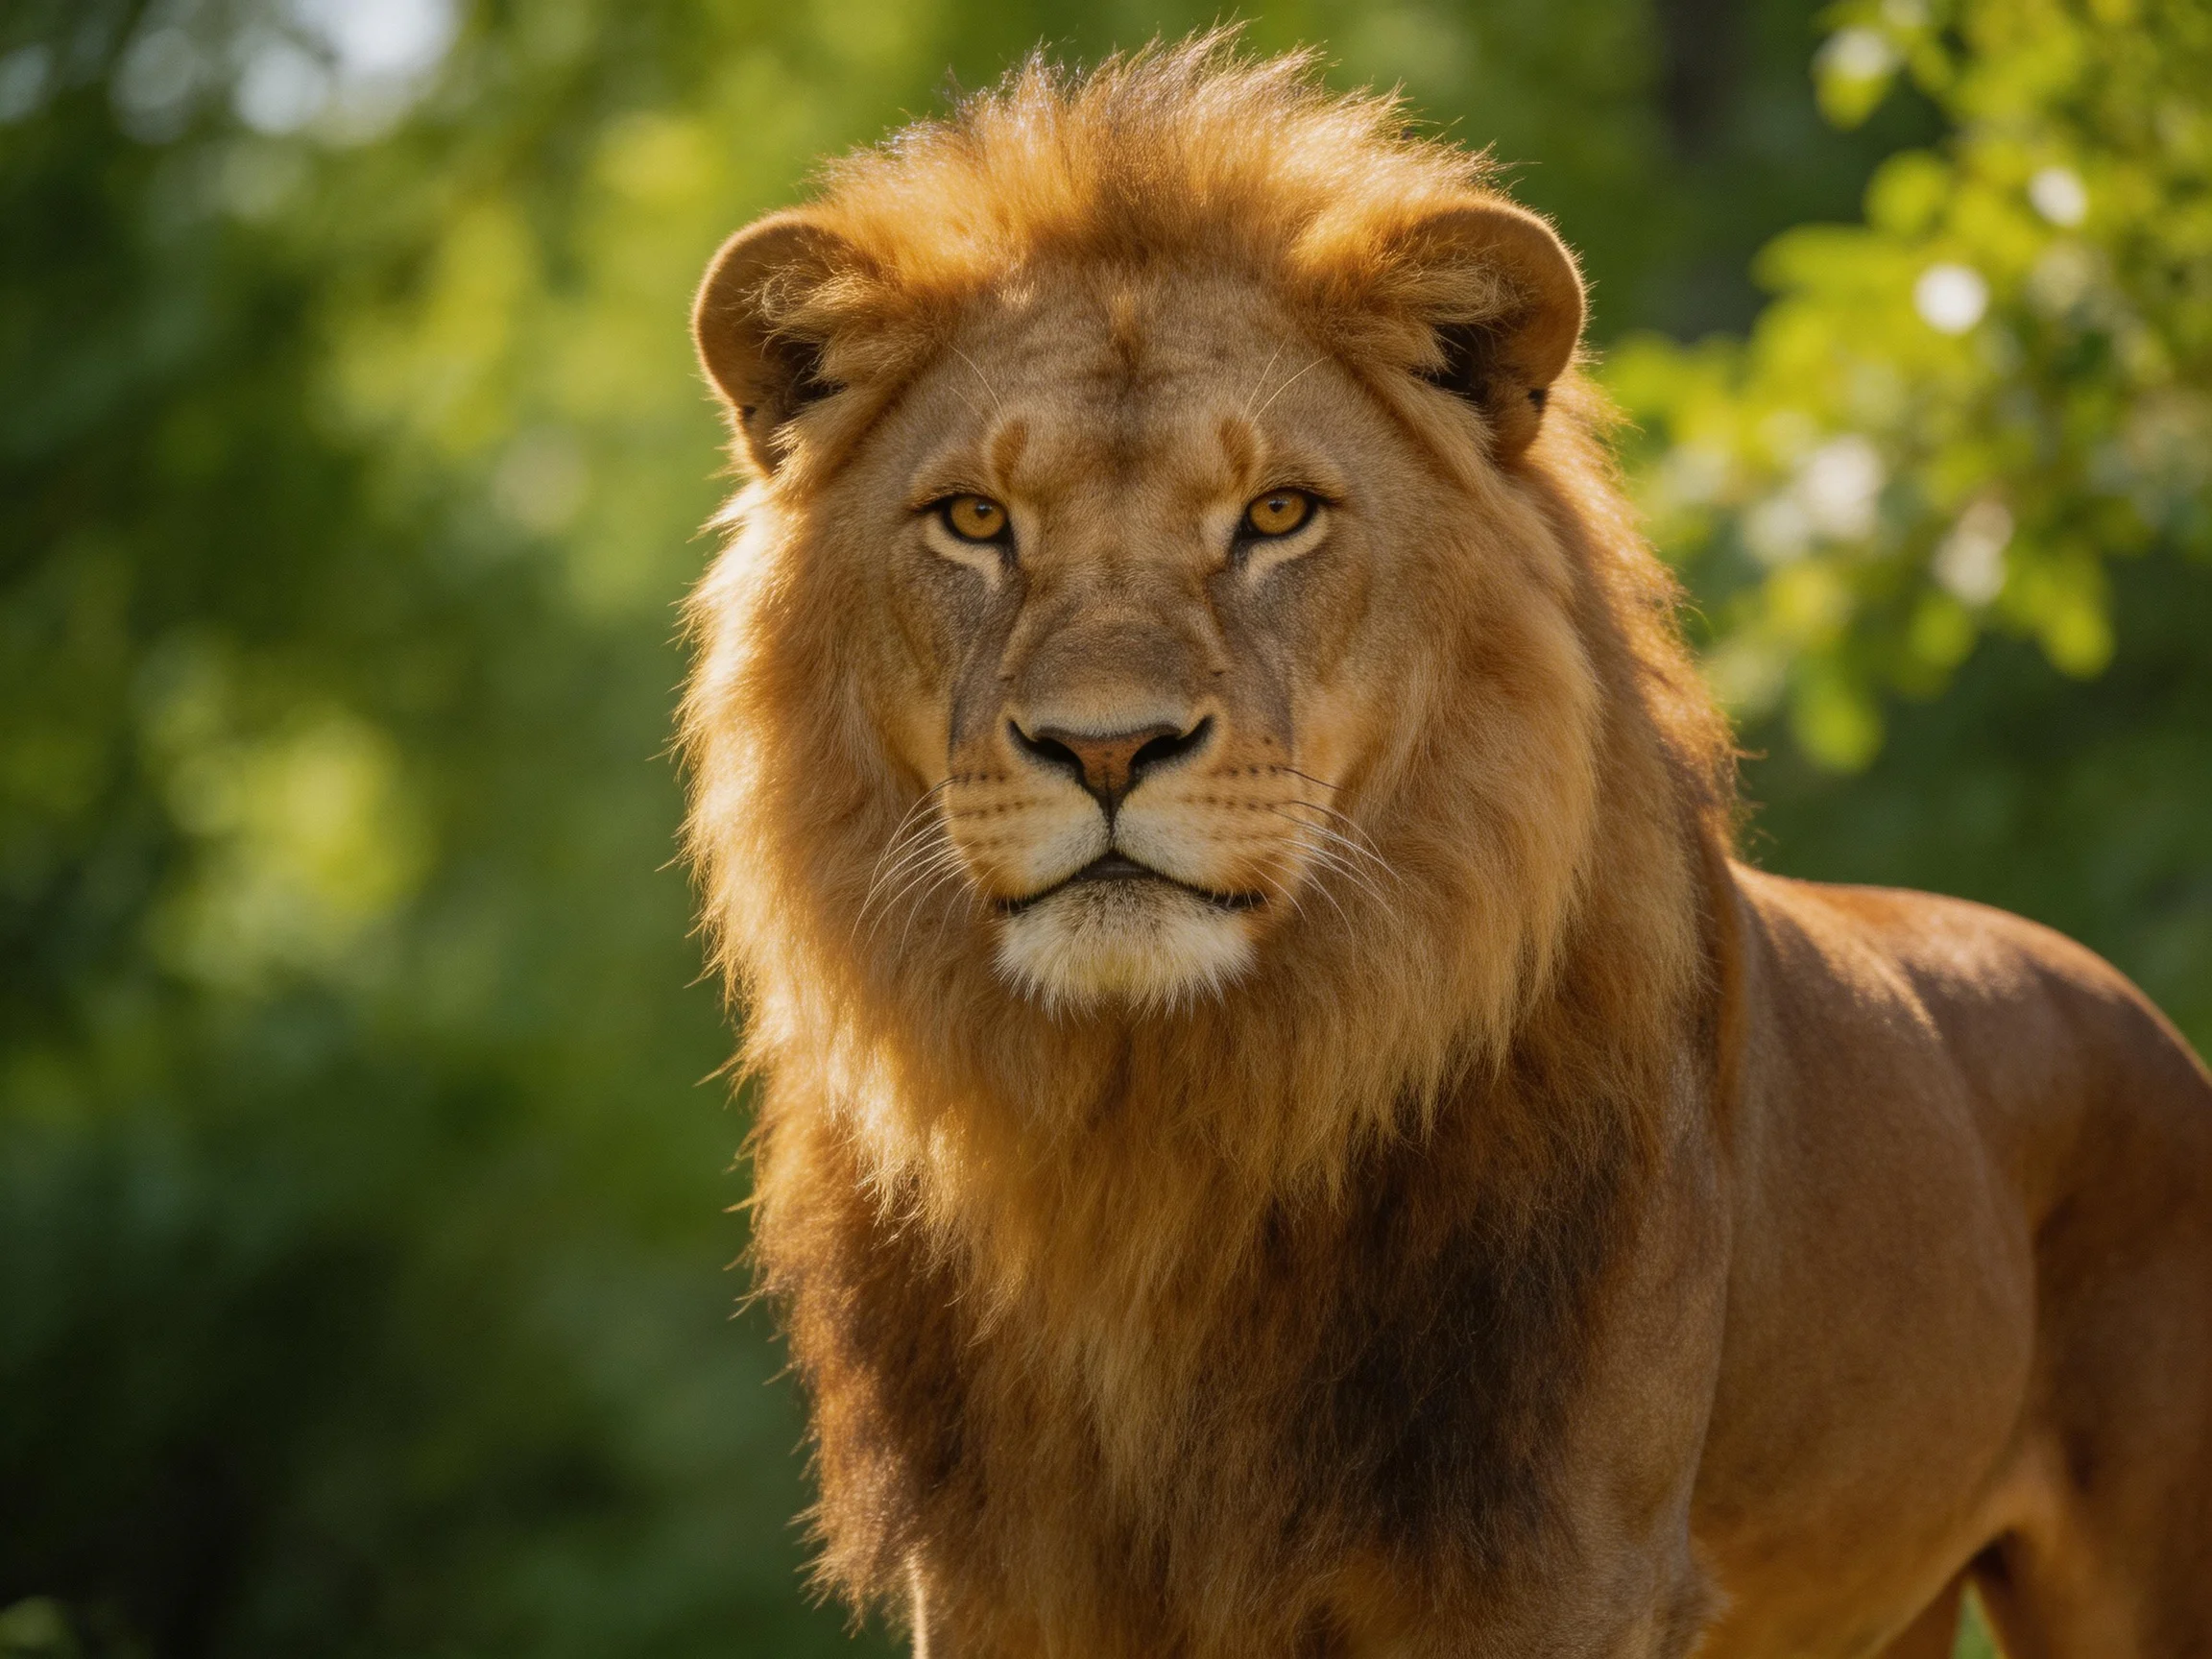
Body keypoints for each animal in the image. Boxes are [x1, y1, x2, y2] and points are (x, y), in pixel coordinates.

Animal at [680, 38, 2212, 1659]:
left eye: (1278, 513)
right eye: (974, 519)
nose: (1106, 749)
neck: (1158, 1138)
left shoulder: (1559, 1569)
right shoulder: (991, 1584)